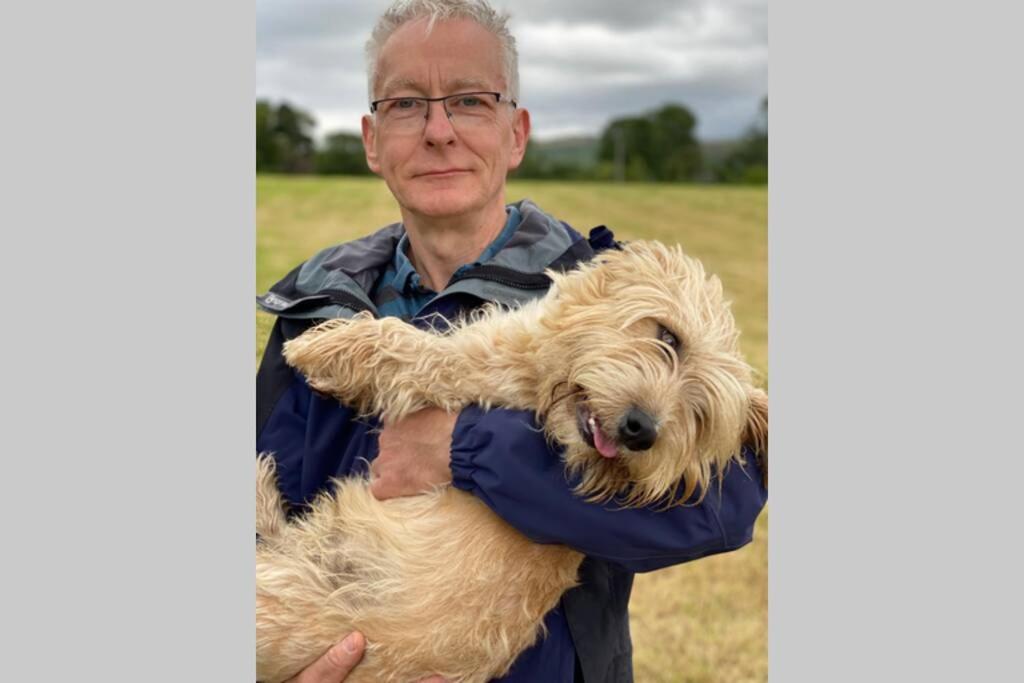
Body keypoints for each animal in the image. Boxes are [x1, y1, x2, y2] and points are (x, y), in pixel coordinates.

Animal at [256, 241, 770, 683]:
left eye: (700, 416)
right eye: (668, 336)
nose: (641, 430)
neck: (547, 390)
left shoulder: (461, 368)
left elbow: (403, 344)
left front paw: (320, 347)